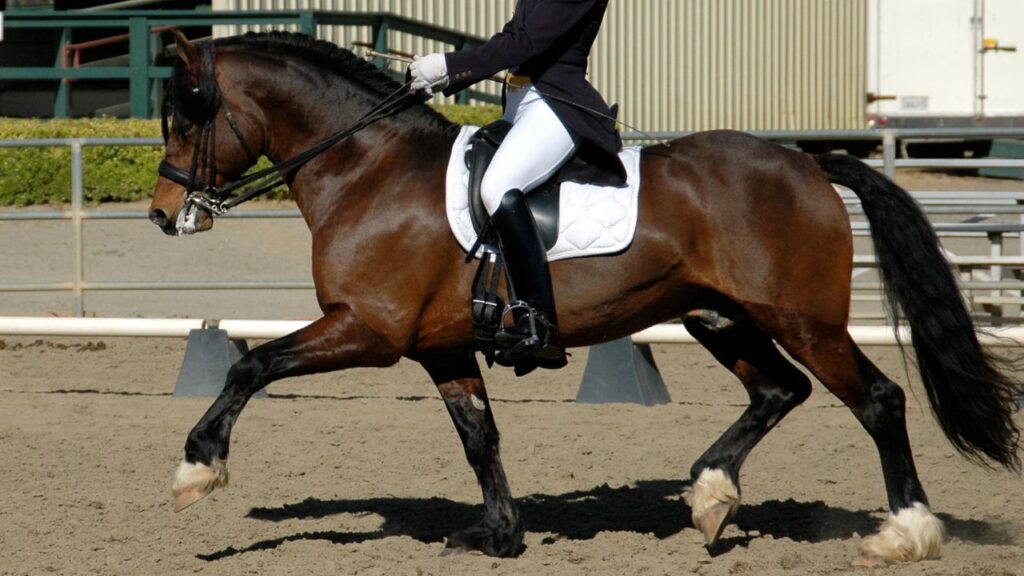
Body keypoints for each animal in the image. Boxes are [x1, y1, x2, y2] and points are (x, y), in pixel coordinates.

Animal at [149, 31, 1021, 564]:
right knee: (778, 390)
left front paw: (196, 469)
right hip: (717, 315)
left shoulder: (369, 329)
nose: (163, 213)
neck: (368, 169)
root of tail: (808, 161)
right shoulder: (440, 346)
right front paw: (500, 534)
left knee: (876, 400)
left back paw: (905, 533)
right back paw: (710, 494)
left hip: (801, 317)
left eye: (187, 114)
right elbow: (480, 438)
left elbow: (251, 367)